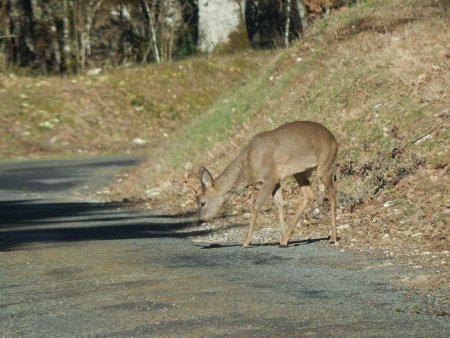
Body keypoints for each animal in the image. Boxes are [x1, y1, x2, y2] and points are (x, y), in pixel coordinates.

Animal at [185, 120, 338, 247]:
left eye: (202, 203)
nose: (199, 220)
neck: (248, 167)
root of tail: (334, 140)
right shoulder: (276, 179)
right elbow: (279, 204)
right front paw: (284, 238)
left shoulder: (269, 178)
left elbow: (256, 205)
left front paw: (246, 241)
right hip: (300, 171)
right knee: (309, 195)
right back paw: (286, 239)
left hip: (325, 164)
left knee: (331, 192)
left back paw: (334, 237)